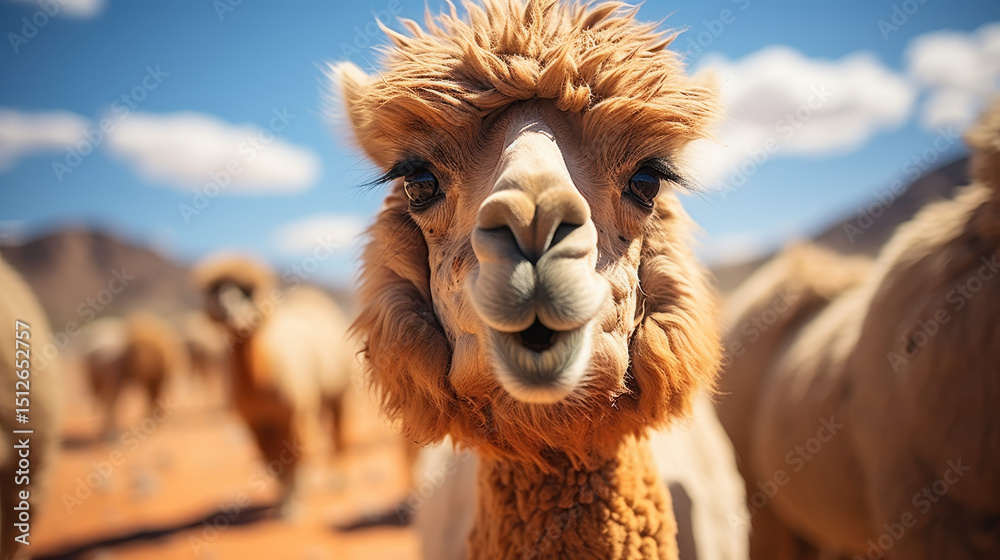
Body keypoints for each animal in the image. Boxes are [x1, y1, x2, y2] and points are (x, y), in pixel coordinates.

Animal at [192, 254, 356, 517]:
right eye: (217, 292)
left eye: (246, 291)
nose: (227, 310)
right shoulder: (256, 422)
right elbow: (271, 460)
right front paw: (284, 502)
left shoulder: (293, 414)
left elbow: (294, 454)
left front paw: (294, 506)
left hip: (338, 393)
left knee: (338, 434)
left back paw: (337, 481)